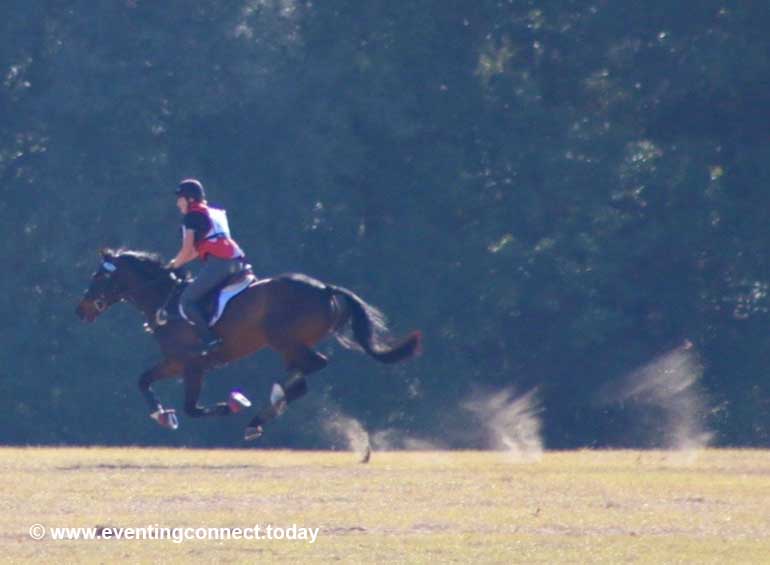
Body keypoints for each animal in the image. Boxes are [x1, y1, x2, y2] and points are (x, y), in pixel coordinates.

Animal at [75, 249, 420, 438]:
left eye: (99, 277)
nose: (81, 310)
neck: (165, 300)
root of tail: (325, 288)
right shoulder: (176, 362)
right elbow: (144, 381)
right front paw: (162, 415)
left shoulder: (192, 363)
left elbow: (192, 408)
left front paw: (234, 403)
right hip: (289, 345)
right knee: (303, 379)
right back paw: (266, 411)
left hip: (283, 339)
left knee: (316, 365)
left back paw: (272, 399)